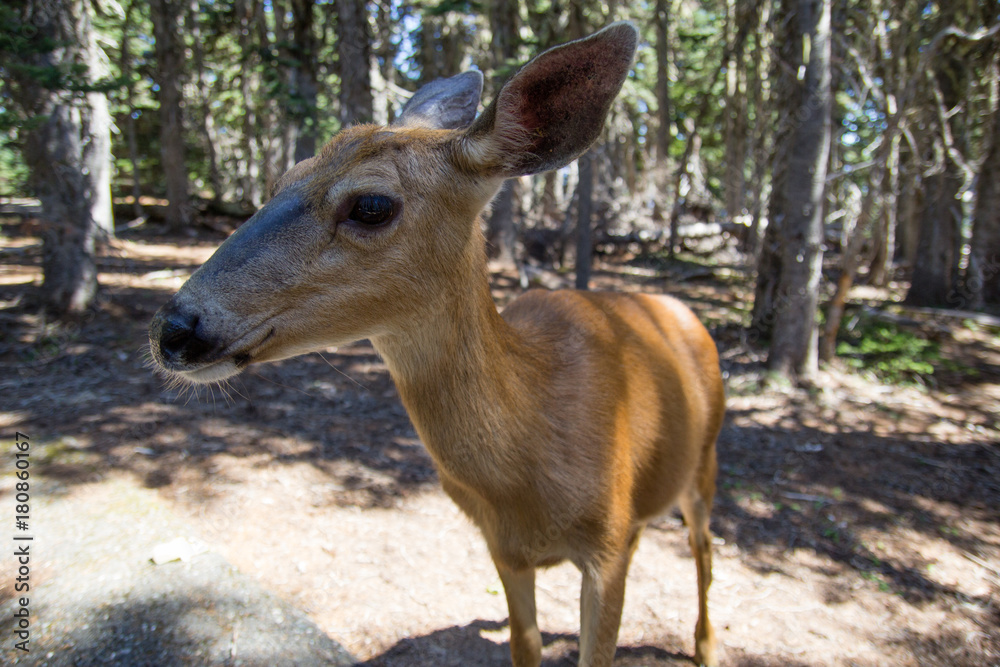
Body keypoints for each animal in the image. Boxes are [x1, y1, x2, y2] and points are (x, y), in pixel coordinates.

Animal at [149, 22, 723, 667]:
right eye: (281, 180)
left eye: (372, 205)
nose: (174, 328)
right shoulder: (503, 549)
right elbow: (524, 644)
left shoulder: (604, 551)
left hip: (705, 460)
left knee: (705, 552)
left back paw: (706, 646)